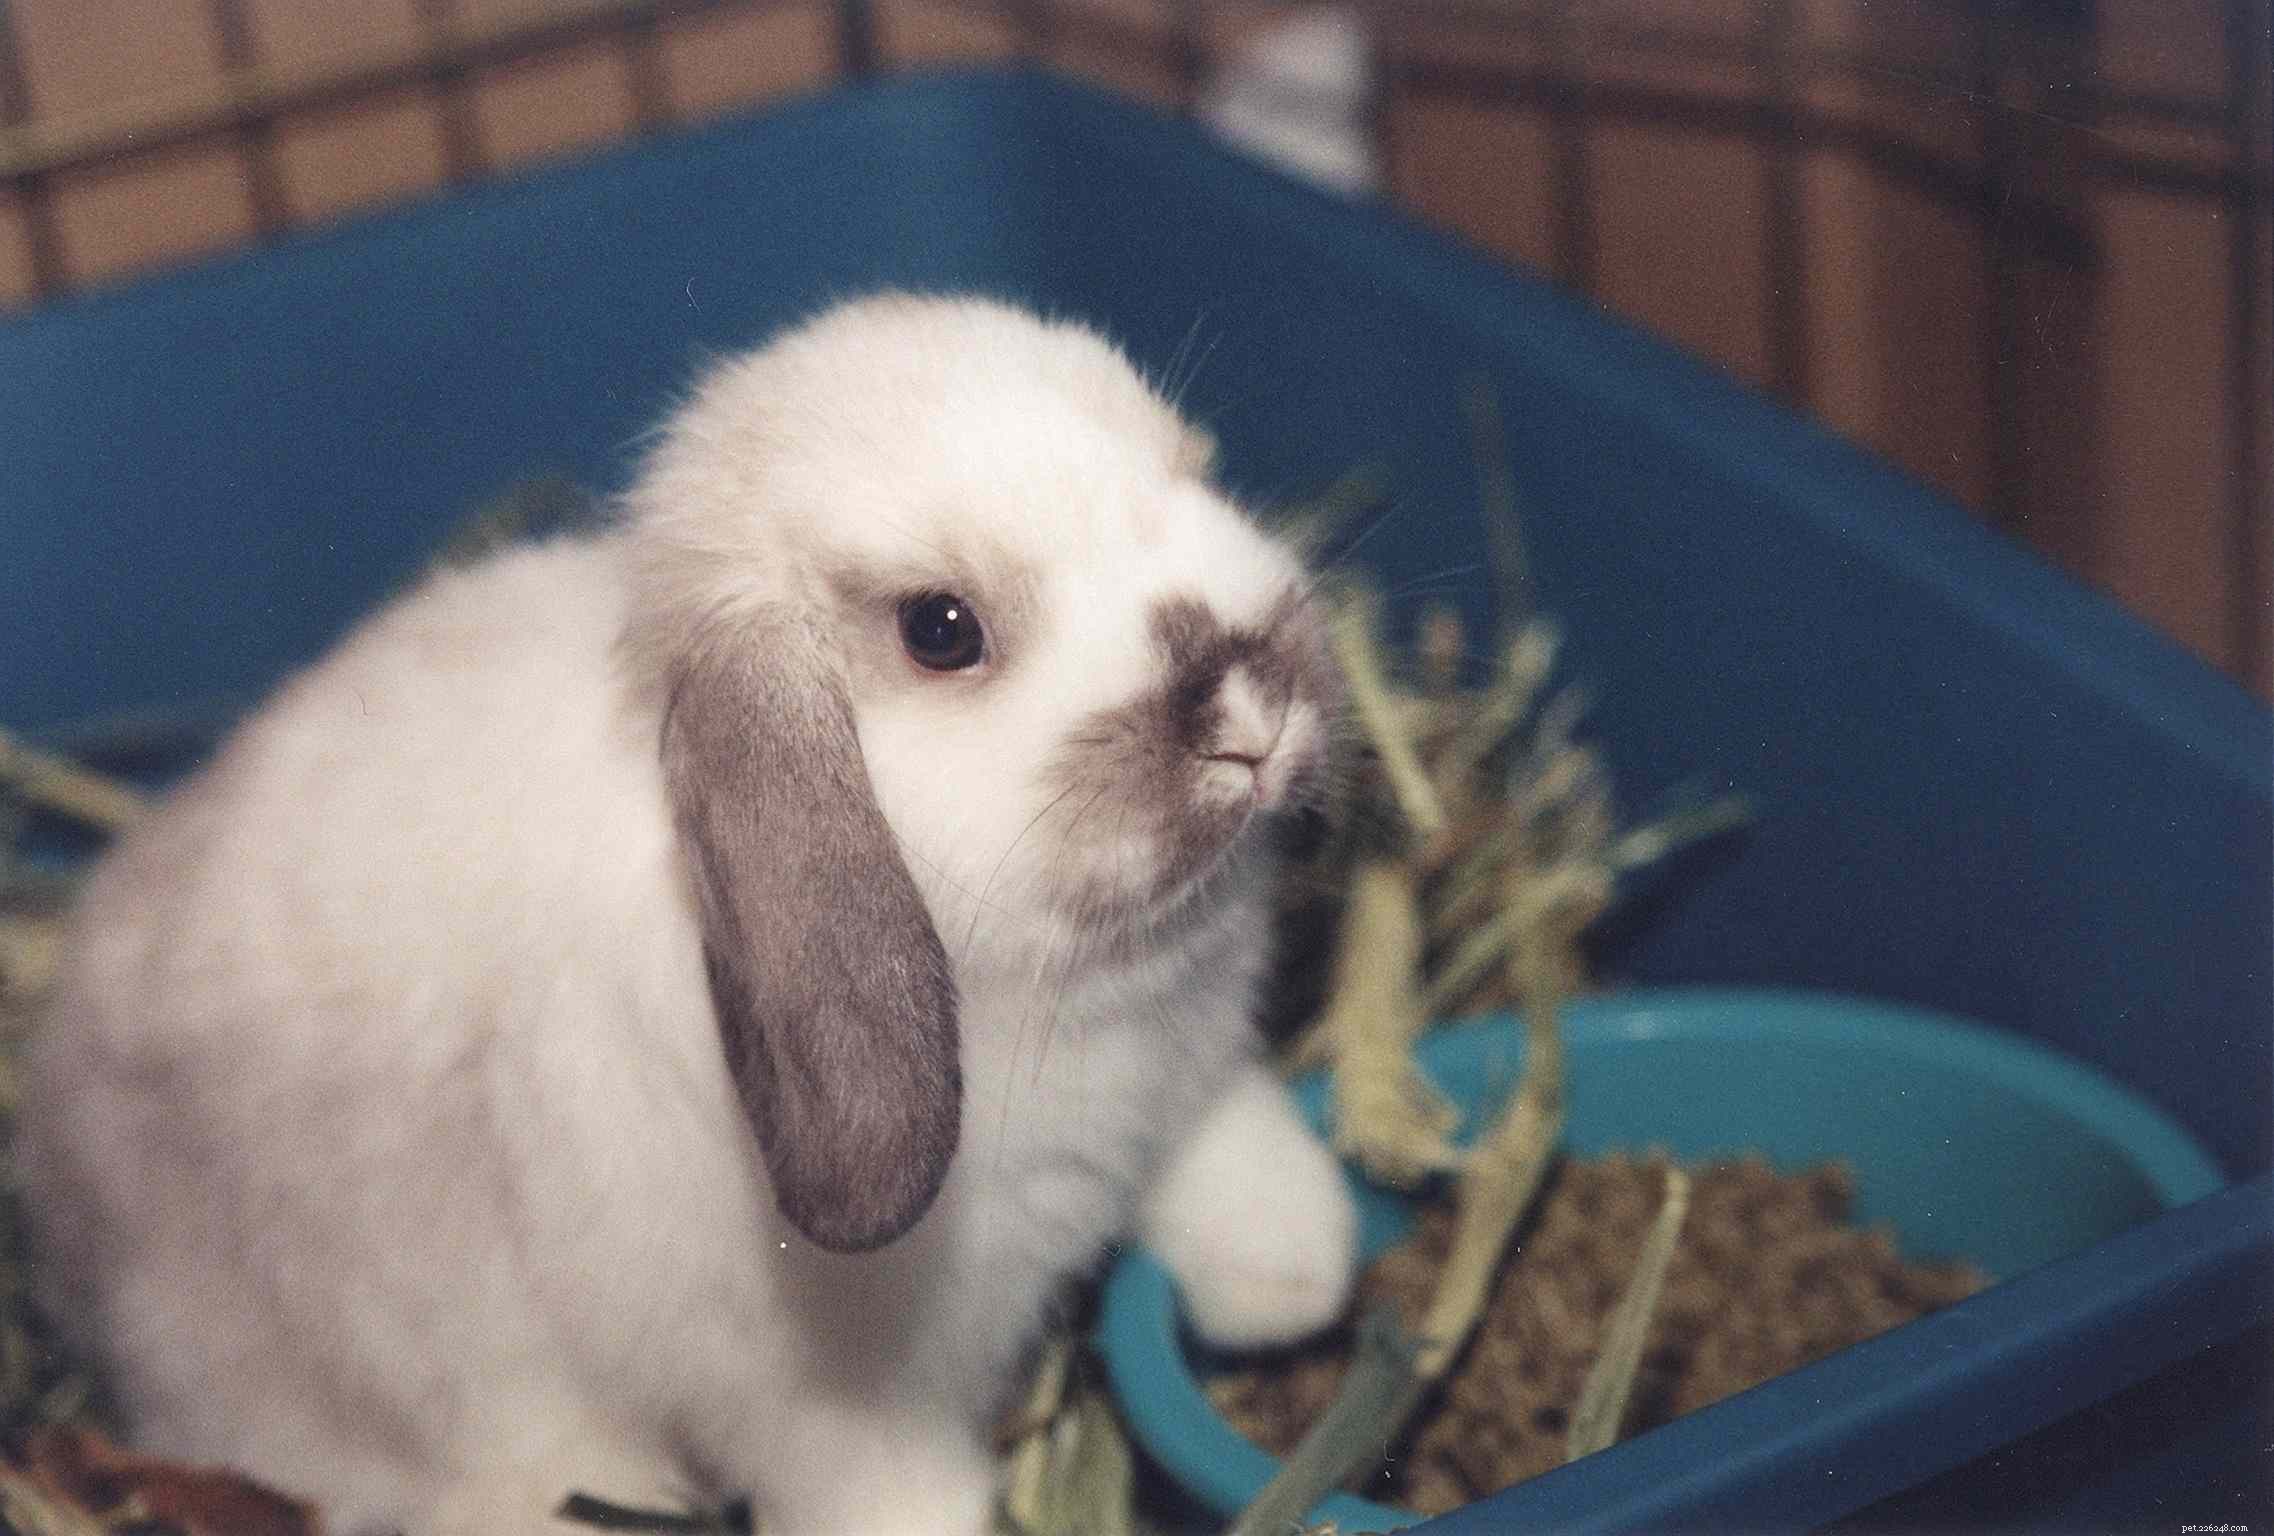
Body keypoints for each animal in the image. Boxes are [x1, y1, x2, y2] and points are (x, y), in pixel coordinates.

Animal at [16, 293, 1361, 1536]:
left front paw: (1295, 1276)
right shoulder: (822, 1405)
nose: (1251, 711)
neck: (1088, 980)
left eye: (1192, 470)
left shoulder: (1185, 1088)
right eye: (941, 629)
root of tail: (54, 1192)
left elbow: (1226, 1156)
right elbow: (888, 1487)